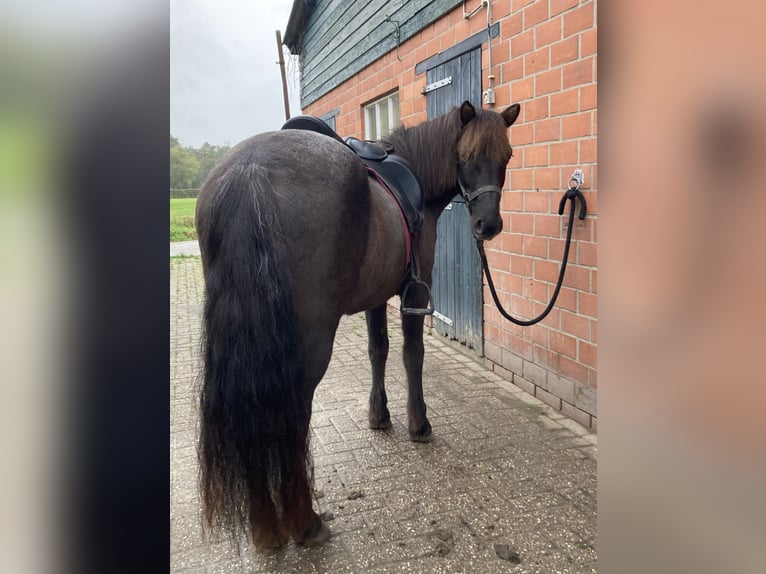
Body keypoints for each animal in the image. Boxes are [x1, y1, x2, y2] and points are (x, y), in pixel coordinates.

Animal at [196, 100, 521, 550]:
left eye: (506, 157)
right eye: (467, 157)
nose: (488, 226)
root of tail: (251, 171)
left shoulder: (376, 296)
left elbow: (377, 350)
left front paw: (378, 416)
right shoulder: (415, 293)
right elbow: (411, 355)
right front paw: (418, 424)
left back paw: (265, 527)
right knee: (292, 411)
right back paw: (304, 523)